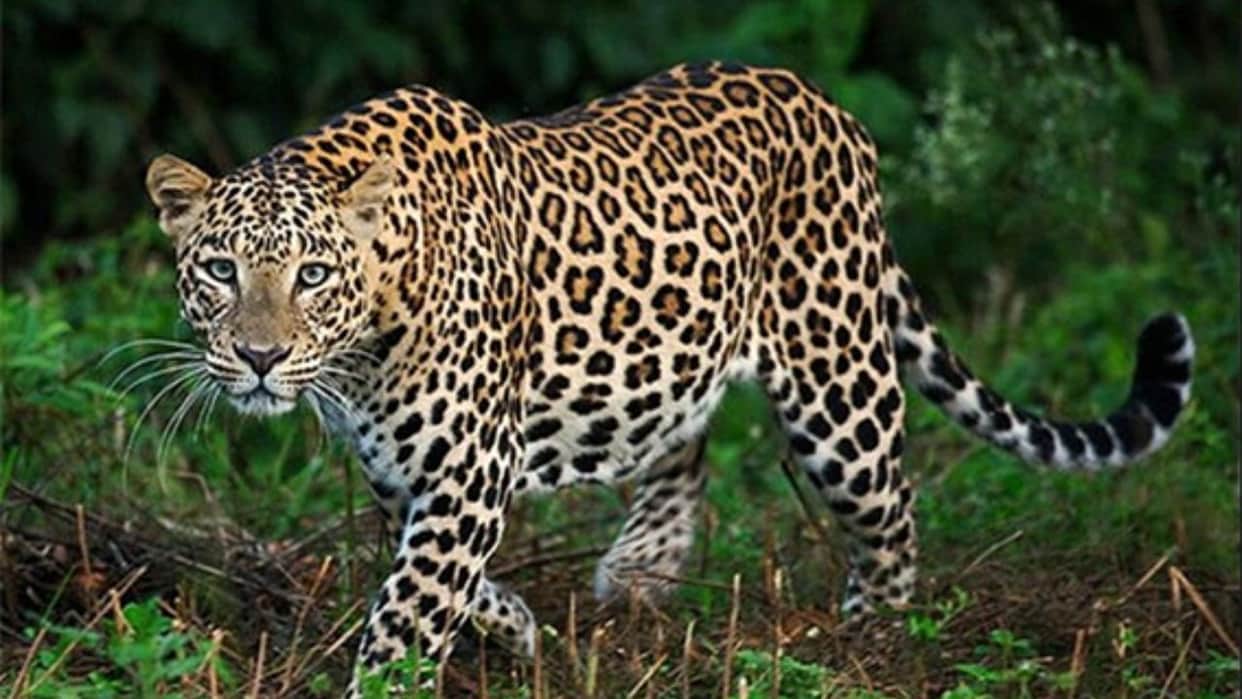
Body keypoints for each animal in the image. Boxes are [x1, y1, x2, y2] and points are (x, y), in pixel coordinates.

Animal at [142, 61, 1194, 692]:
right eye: (220, 270)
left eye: (313, 275)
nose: (259, 357)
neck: (364, 339)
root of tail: (828, 107)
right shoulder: (407, 471)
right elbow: (439, 578)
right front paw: (517, 628)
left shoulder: (466, 469)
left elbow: (409, 606)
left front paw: (395, 674)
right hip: (670, 354)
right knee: (683, 443)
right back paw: (643, 568)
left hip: (838, 384)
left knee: (893, 508)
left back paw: (876, 638)